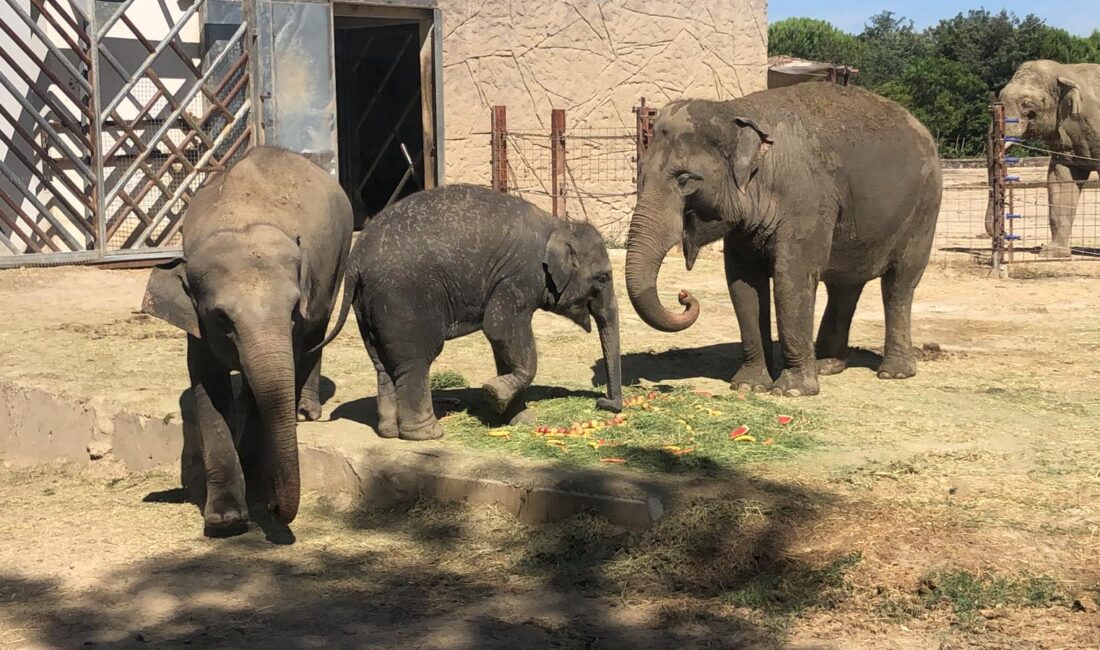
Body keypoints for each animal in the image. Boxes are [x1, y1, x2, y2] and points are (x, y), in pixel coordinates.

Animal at [139, 148, 349, 534]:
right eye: (222, 319)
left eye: (293, 309)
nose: (273, 506)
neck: (239, 221)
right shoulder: (198, 324)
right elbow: (208, 385)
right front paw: (225, 520)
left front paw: (253, 469)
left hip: (339, 255)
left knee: (320, 323)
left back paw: (304, 411)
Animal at [314, 184, 624, 442]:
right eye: (603, 278)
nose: (603, 403)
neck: (557, 223)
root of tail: (355, 261)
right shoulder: (519, 276)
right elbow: (499, 328)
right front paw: (493, 393)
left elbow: (501, 341)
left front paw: (517, 418)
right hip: (404, 299)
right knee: (415, 361)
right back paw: (427, 434)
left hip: (367, 305)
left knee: (383, 364)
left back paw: (390, 432)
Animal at [624, 81, 941, 395]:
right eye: (641, 175)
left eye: (684, 179)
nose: (683, 296)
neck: (733, 109)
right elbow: (743, 283)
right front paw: (749, 386)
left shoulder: (806, 200)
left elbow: (793, 278)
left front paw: (792, 391)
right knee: (844, 286)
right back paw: (827, 366)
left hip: (924, 210)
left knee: (899, 283)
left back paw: (893, 373)